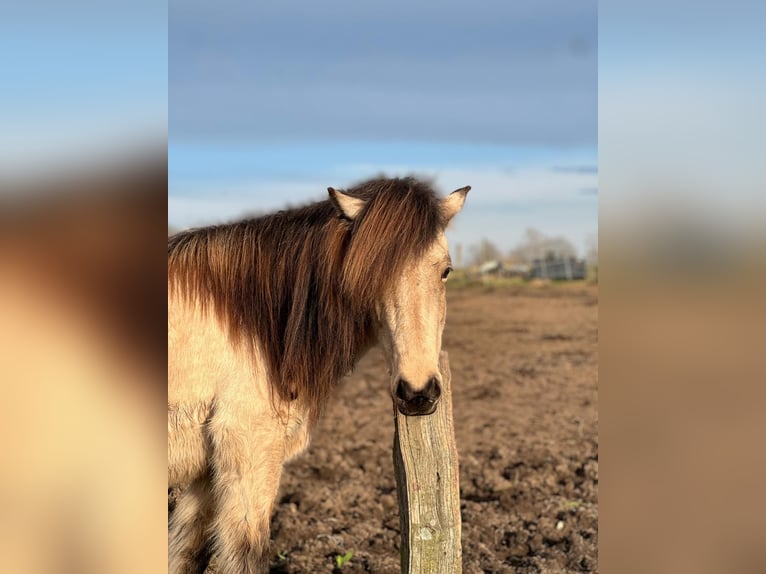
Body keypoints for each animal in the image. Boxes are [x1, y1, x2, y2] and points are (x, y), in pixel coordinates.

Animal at [168, 178, 468, 572]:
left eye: (445, 270)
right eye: (369, 273)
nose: (417, 392)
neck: (253, 324)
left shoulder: (204, 475)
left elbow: (183, 554)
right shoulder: (250, 450)